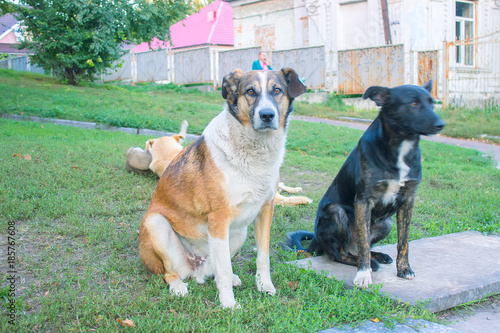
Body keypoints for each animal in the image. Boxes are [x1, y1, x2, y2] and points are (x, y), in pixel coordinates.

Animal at [139, 67, 306, 306]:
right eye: (250, 91)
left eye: (277, 90)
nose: (267, 115)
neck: (255, 150)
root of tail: (194, 266)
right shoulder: (219, 218)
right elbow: (225, 267)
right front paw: (229, 304)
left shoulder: (265, 210)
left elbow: (262, 256)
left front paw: (265, 286)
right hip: (156, 224)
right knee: (170, 273)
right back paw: (179, 286)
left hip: (238, 231)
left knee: (210, 269)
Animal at [286, 80, 446, 286]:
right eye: (413, 103)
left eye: (432, 103)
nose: (441, 125)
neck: (400, 147)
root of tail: (316, 241)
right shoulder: (363, 201)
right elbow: (363, 243)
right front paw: (363, 274)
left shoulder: (408, 200)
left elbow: (403, 242)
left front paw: (404, 269)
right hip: (336, 212)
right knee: (341, 253)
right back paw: (368, 263)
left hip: (386, 223)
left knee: (362, 247)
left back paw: (378, 256)